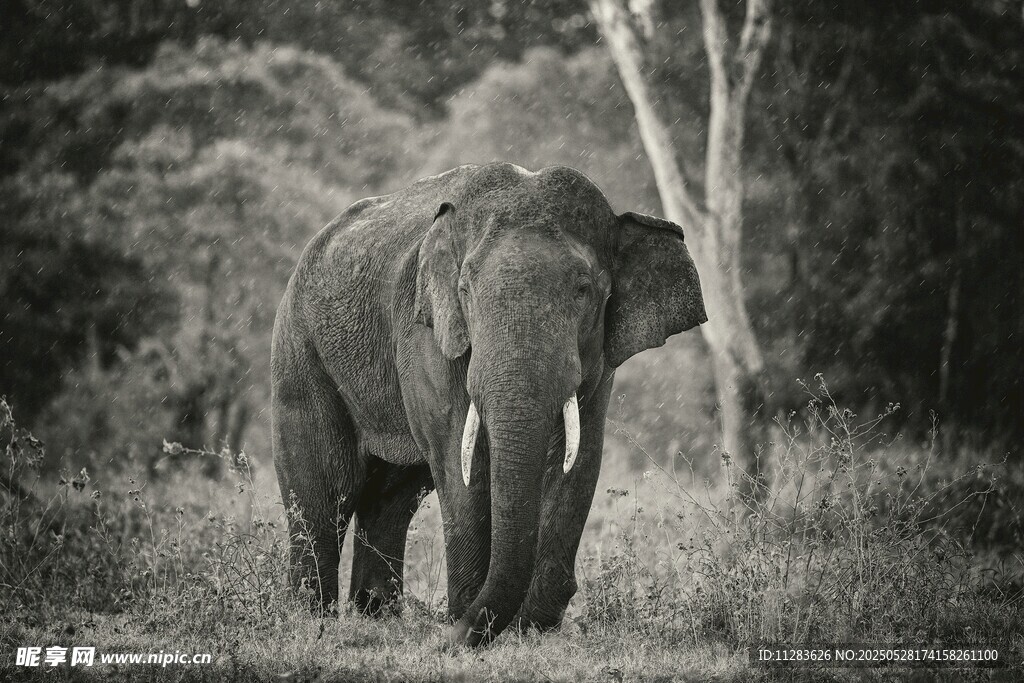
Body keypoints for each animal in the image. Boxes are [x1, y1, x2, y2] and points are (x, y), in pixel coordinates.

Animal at [271, 162, 707, 647]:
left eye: (584, 290)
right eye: (464, 289)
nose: (447, 637)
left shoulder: (599, 361)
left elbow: (578, 459)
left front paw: (532, 627)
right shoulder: (425, 334)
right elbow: (459, 459)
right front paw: (473, 620)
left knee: (391, 499)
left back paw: (376, 618)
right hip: (299, 353)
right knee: (327, 490)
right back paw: (313, 622)